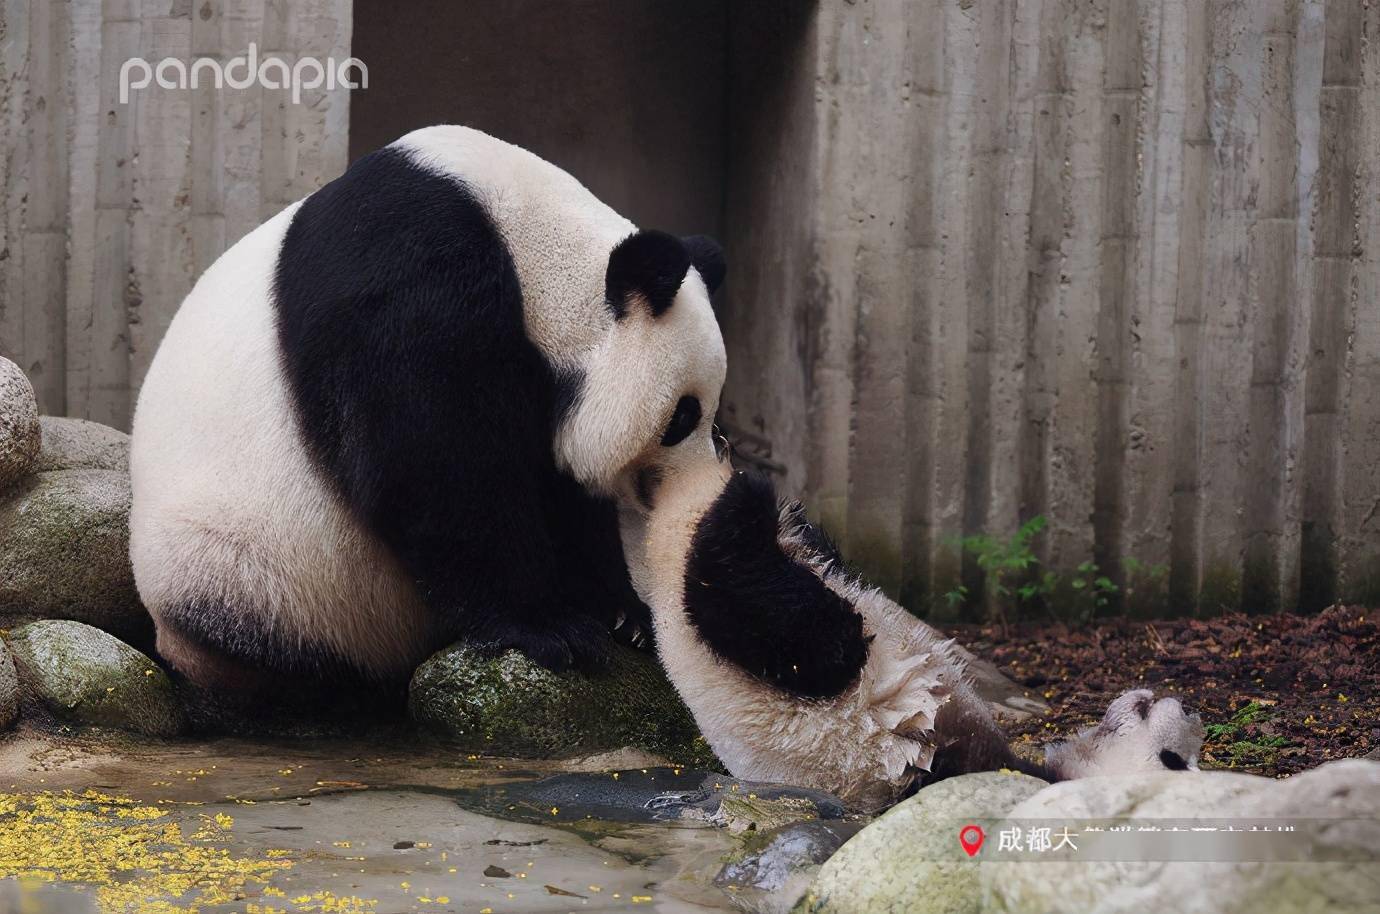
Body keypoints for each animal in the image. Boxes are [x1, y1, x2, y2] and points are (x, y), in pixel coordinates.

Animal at [131, 127, 1208, 811]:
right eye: (685, 413)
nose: (710, 488)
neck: (526, 237)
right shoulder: (410, 292)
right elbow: (431, 465)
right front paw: (550, 627)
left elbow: (548, 478)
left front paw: (615, 610)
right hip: (251, 569)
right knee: (282, 632)